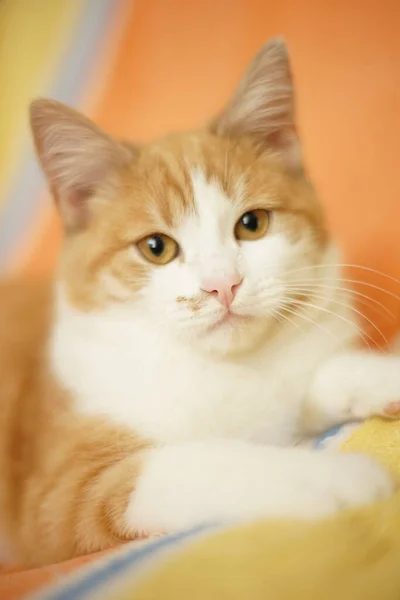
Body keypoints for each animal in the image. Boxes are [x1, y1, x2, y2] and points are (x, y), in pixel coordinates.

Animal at [0, 38, 400, 568]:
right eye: (156, 248)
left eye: (252, 224)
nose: (223, 285)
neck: (223, 368)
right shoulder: (61, 495)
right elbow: (200, 463)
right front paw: (337, 476)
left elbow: (321, 377)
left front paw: (381, 375)